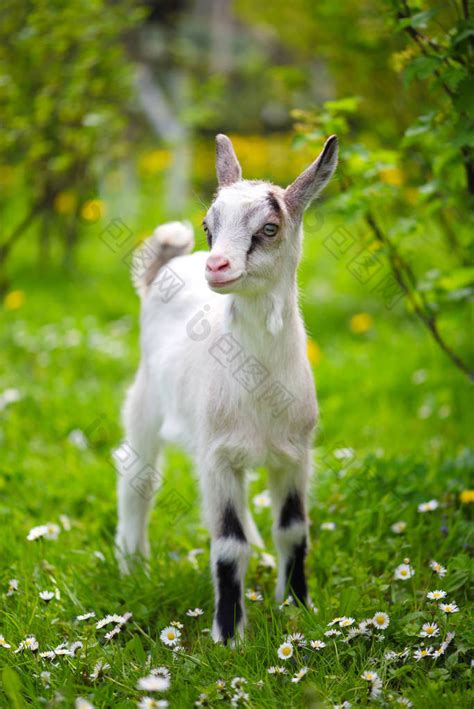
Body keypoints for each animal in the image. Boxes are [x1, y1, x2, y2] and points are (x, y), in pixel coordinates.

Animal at [115, 133, 336, 640]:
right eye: (207, 225)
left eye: (270, 227)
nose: (217, 265)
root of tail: (165, 266)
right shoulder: (217, 457)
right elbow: (228, 545)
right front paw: (229, 635)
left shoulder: (295, 454)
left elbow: (294, 530)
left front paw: (297, 607)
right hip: (146, 402)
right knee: (138, 477)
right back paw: (132, 565)